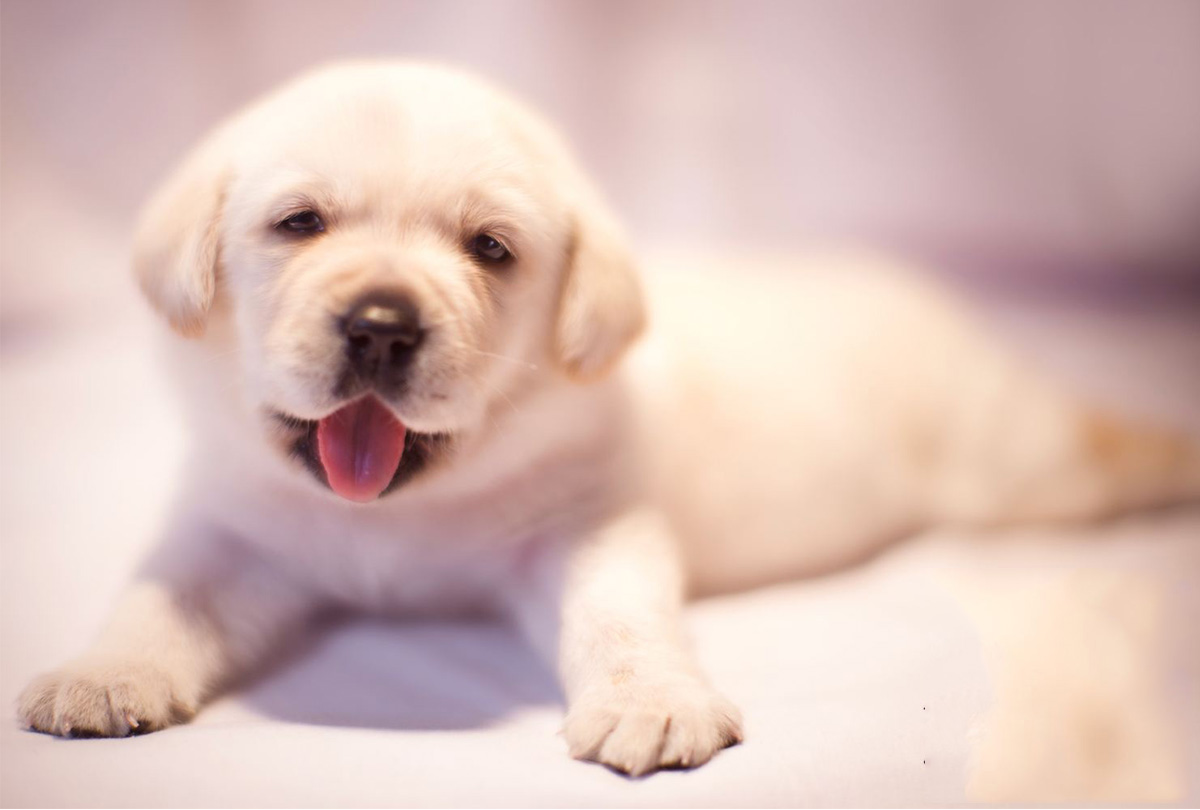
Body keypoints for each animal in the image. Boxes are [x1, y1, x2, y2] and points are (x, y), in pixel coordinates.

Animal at [18, 60, 1200, 777]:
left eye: (489, 249)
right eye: (299, 223)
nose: (383, 326)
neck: (398, 515)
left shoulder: (589, 524)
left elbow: (621, 617)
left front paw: (654, 701)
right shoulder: (231, 526)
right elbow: (160, 597)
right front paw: (103, 672)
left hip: (1018, 463)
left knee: (1095, 446)